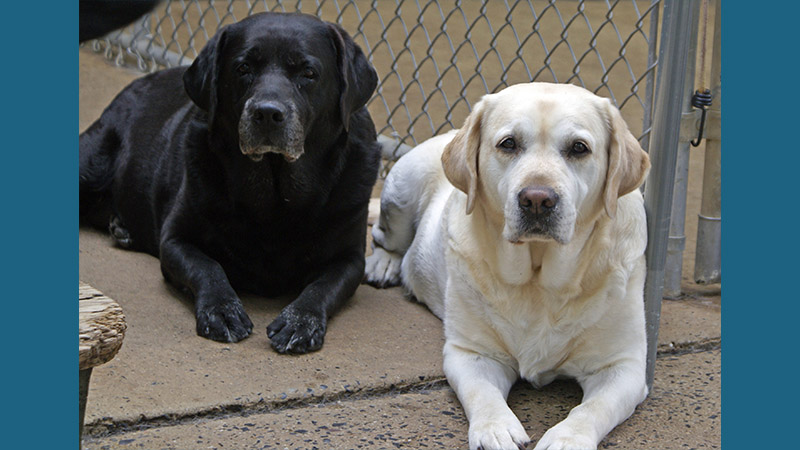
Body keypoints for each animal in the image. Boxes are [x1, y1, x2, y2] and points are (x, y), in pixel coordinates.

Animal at [79, 12, 380, 354]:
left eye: (308, 72)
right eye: (243, 68)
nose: (267, 113)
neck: (275, 197)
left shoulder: (350, 259)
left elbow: (323, 287)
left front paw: (300, 322)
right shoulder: (176, 240)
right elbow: (208, 267)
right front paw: (222, 311)